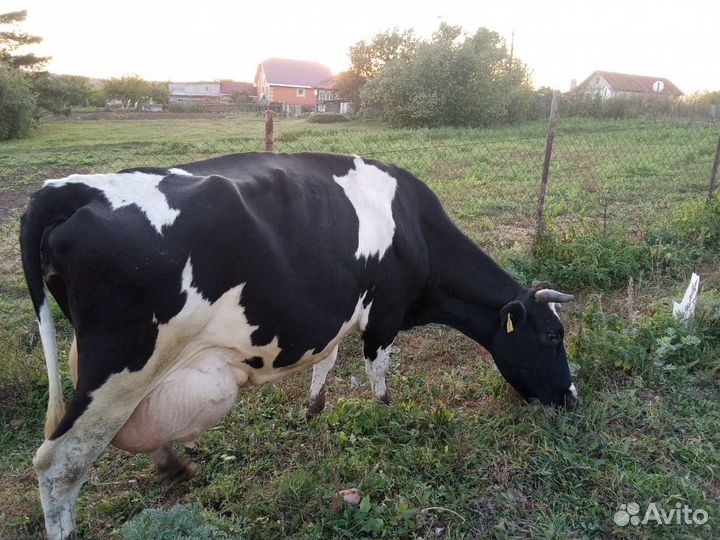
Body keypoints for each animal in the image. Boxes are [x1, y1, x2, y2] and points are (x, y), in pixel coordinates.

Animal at [21, 152, 577, 540]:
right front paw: (389, 414)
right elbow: (377, 370)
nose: (572, 400)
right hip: (122, 366)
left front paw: (313, 407)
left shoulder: (333, 310)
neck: (417, 229)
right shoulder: (385, 312)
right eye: (553, 336)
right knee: (61, 463)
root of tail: (70, 187)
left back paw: (173, 462)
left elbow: (326, 360)